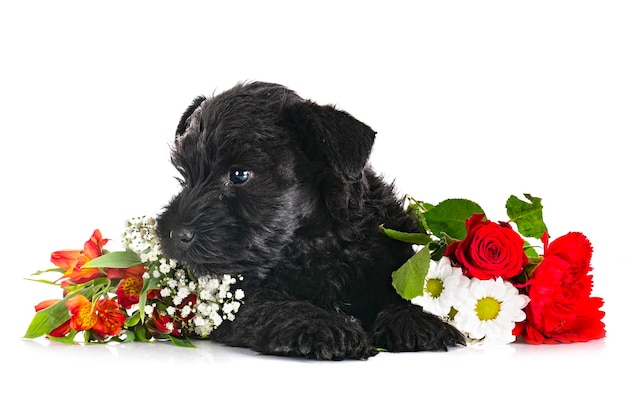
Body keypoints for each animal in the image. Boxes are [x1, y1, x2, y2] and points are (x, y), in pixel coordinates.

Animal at [156, 82, 464, 360]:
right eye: (185, 174)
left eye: (240, 174)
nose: (175, 233)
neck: (316, 240)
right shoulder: (241, 295)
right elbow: (273, 303)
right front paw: (324, 326)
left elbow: (399, 296)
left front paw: (415, 321)